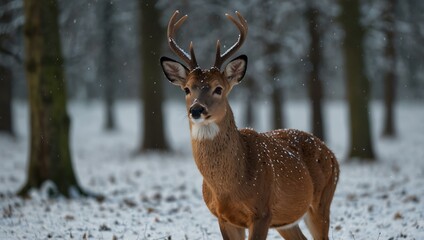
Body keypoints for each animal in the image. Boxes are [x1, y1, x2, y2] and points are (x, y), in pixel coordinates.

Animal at [161, 10, 340, 239]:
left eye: (218, 88)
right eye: (187, 89)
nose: (196, 110)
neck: (227, 188)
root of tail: (331, 154)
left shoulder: (262, 212)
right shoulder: (224, 217)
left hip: (322, 200)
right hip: (287, 220)